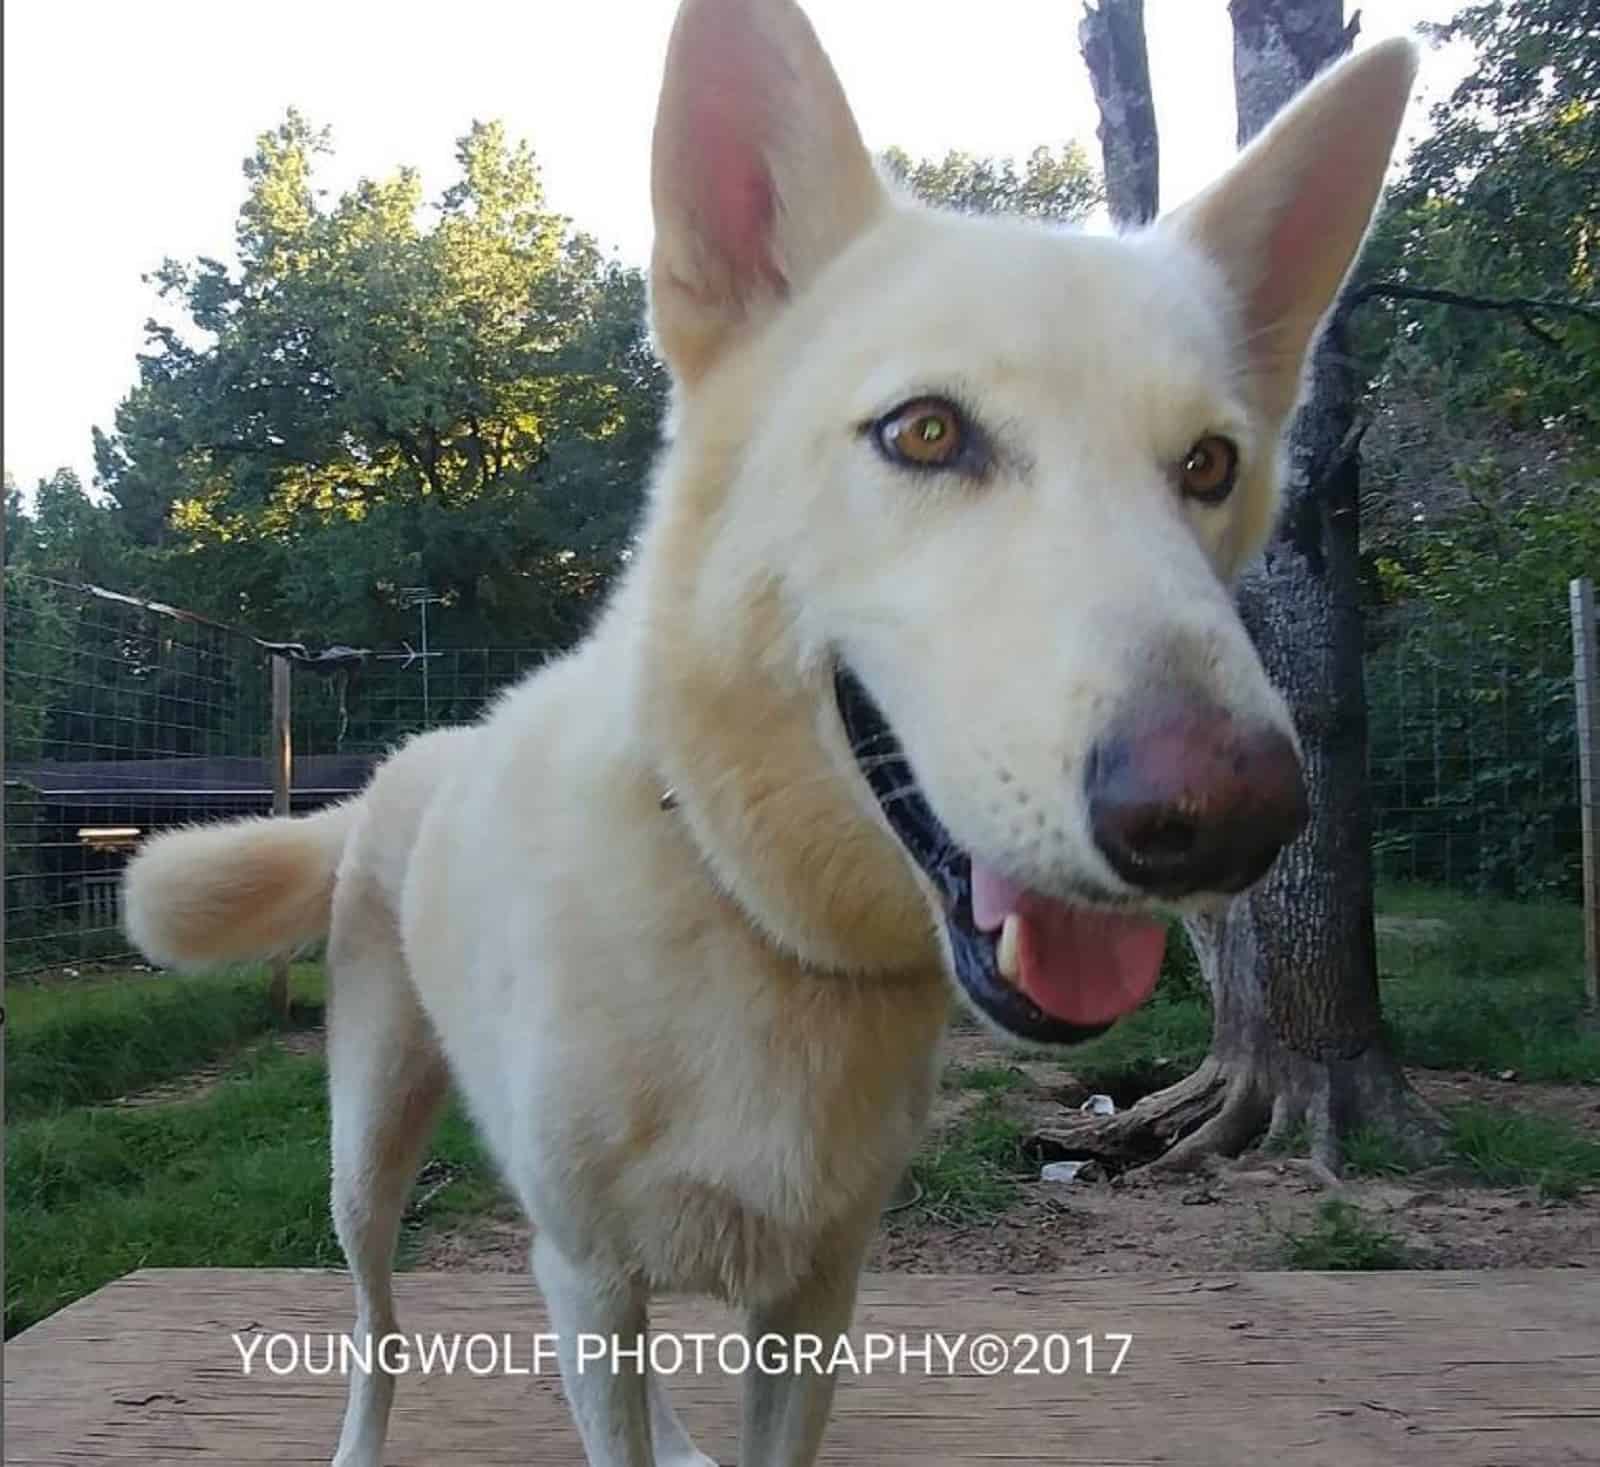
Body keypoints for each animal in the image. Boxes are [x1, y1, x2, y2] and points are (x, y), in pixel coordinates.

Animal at [131, 5, 1420, 1459]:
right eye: (925, 431)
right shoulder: (594, 1275)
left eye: (1209, 464)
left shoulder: (815, 1292)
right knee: (376, 1323)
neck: (759, 914)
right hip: (370, 1153)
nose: (1229, 814)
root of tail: (418, 757)